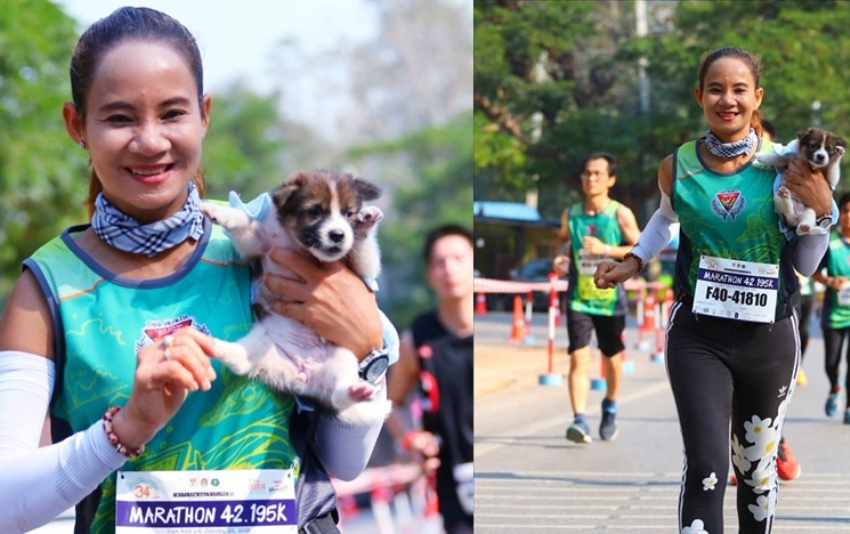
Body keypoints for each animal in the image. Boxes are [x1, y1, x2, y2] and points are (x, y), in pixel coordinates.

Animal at [202, 170, 390, 426]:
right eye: (315, 212)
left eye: (348, 213)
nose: (338, 235)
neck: (300, 246)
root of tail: (303, 378)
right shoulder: (258, 243)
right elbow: (243, 221)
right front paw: (218, 211)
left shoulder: (360, 269)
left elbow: (364, 254)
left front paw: (366, 221)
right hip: (261, 343)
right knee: (240, 360)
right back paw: (213, 345)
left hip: (343, 358)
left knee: (339, 396)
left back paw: (355, 392)